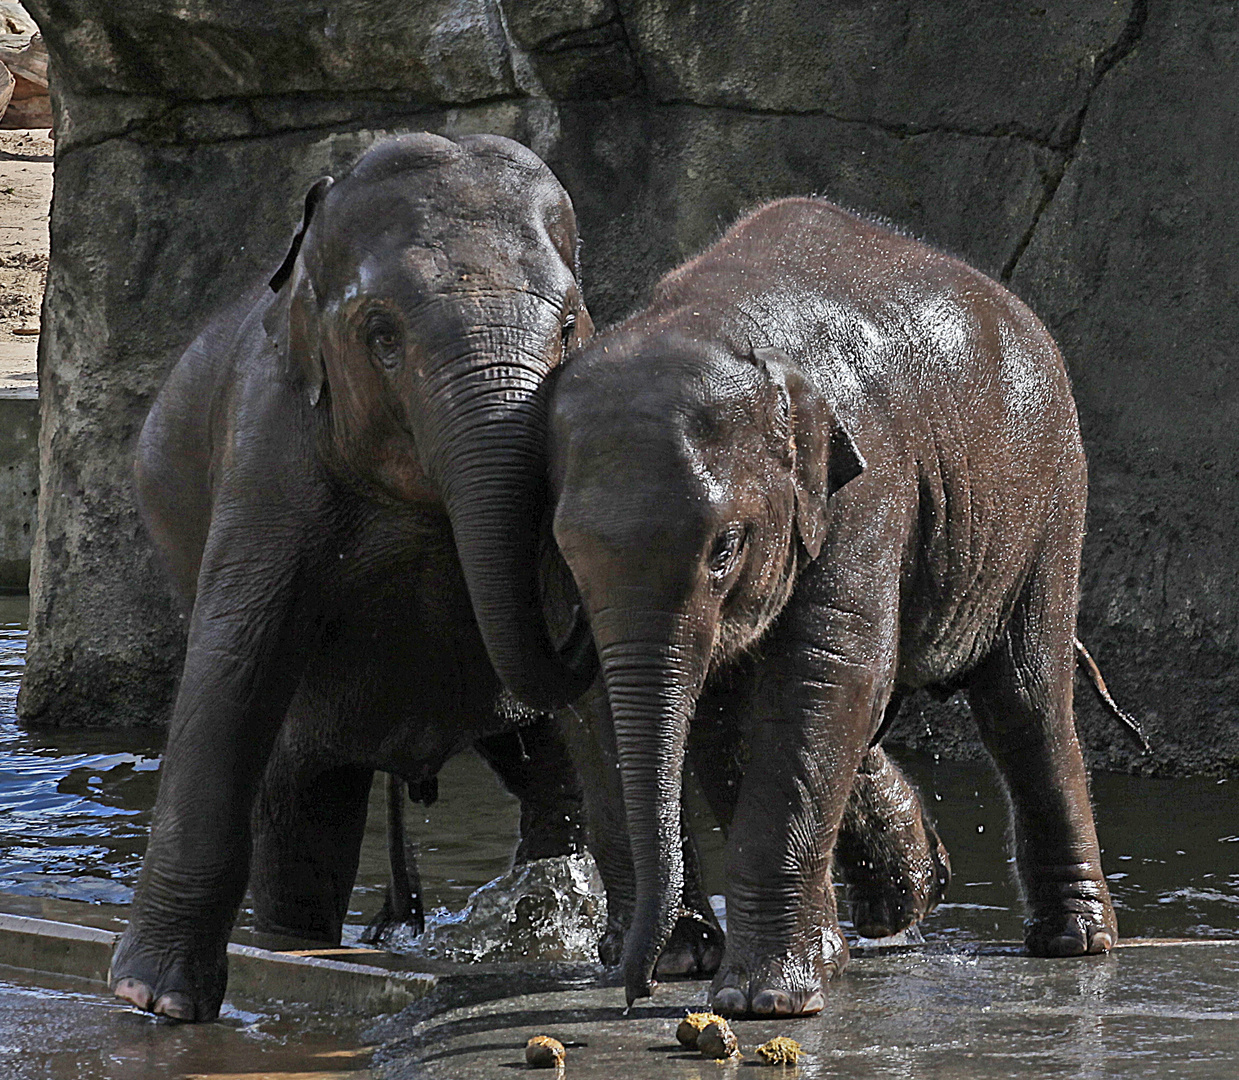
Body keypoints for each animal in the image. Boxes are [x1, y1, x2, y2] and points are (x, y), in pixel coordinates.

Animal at [107, 135, 599, 1020]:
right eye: (380, 334)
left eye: (571, 324)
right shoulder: (268, 451)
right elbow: (235, 666)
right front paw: (155, 1001)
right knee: (301, 821)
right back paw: (296, 944)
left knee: (551, 779)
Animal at [547, 198, 1120, 1015]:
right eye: (564, 552)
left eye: (725, 547)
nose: (635, 991)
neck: (720, 320)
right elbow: (732, 707)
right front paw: (800, 966)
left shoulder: (870, 483)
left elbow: (825, 672)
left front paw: (766, 1002)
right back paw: (897, 907)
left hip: (1048, 495)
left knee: (1025, 698)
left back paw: (1073, 944)